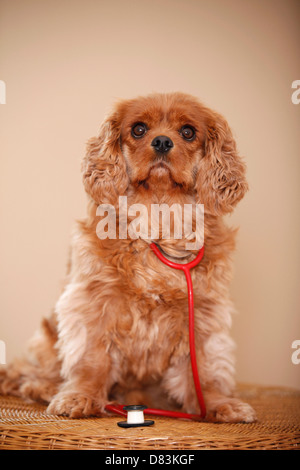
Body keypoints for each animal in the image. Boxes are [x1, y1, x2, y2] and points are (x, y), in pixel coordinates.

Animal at [1, 92, 256, 422]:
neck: (159, 214)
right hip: (45, 339)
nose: (162, 141)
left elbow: (205, 369)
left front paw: (217, 404)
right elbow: (91, 359)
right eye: (138, 129)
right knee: (26, 374)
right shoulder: (93, 302)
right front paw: (81, 397)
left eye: (188, 132)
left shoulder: (204, 313)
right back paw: (44, 388)